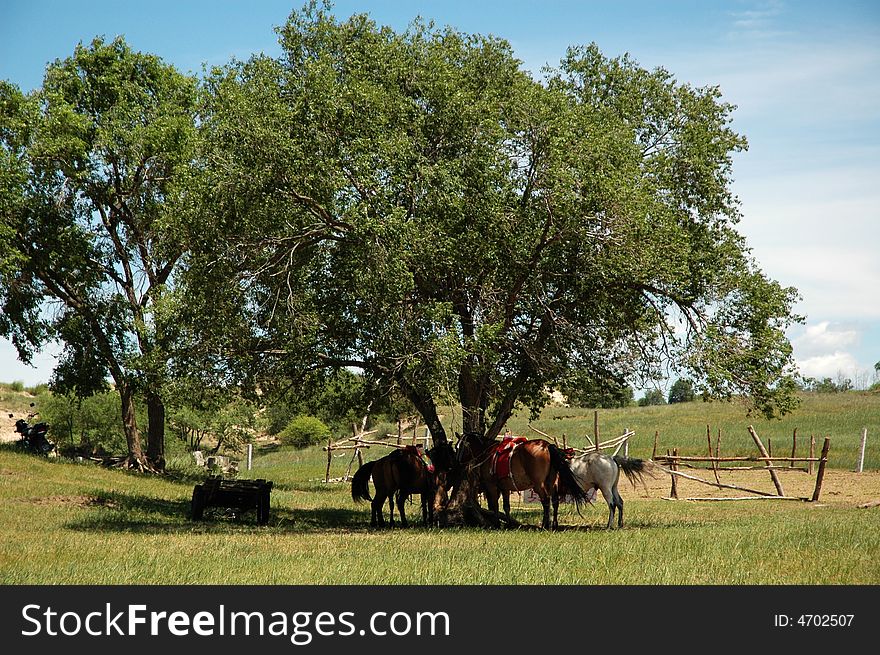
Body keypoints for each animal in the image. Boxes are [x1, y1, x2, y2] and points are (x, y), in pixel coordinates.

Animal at [458, 434, 588, 532]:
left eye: (459, 447)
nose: (457, 462)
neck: (488, 452)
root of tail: (546, 446)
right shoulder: (505, 488)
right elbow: (506, 506)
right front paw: (509, 524)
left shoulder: (492, 486)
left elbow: (494, 505)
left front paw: (497, 524)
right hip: (551, 482)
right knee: (555, 501)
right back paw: (554, 525)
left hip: (539, 484)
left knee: (546, 501)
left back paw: (545, 525)